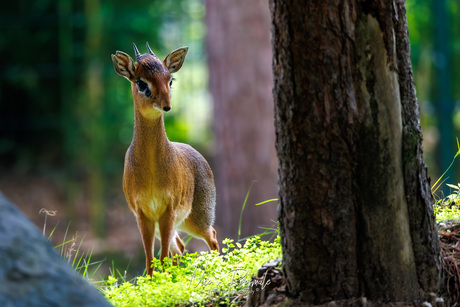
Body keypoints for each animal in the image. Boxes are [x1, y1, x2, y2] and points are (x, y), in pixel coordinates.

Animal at [111, 42, 219, 276]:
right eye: (140, 82)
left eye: (170, 79)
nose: (167, 105)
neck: (151, 172)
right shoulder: (142, 212)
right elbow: (150, 259)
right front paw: (154, 284)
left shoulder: (168, 207)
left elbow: (161, 258)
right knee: (180, 247)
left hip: (197, 216)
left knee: (212, 236)